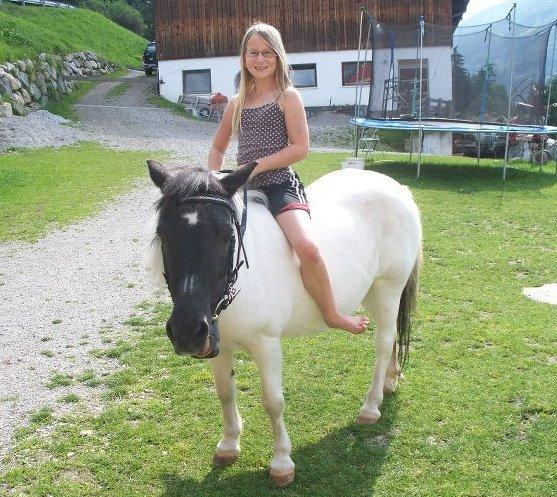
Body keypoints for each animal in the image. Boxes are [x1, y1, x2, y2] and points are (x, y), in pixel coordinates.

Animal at [146, 160, 422, 486]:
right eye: (163, 234)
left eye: (226, 235)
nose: (187, 331)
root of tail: (399, 189)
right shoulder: (218, 346)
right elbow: (225, 392)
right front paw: (228, 445)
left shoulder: (267, 345)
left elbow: (273, 401)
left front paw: (281, 463)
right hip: (372, 292)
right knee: (391, 335)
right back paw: (390, 381)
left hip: (388, 288)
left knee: (383, 342)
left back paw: (371, 406)